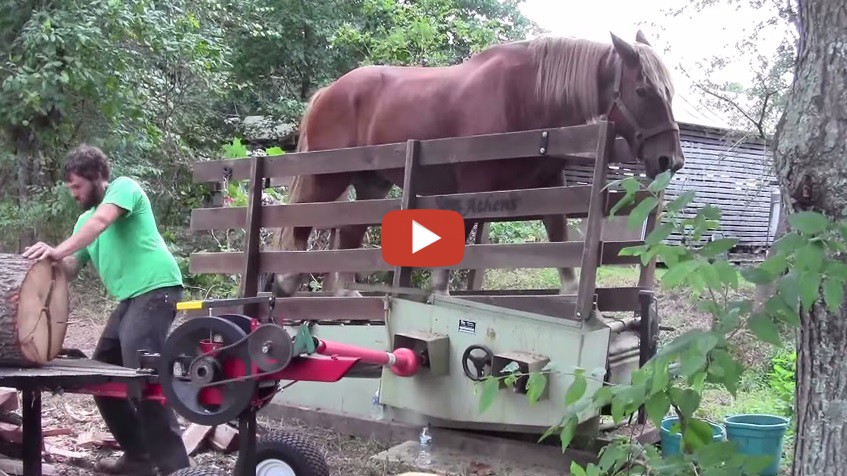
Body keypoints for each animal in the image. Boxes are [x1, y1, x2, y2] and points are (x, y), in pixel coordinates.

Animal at [270, 30, 684, 298]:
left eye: (669, 92)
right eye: (642, 90)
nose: (671, 159)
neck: (526, 99)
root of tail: (328, 90)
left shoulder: (550, 187)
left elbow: (559, 238)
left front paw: (569, 296)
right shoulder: (471, 187)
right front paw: (439, 296)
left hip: (372, 183)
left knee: (349, 233)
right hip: (328, 176)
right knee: (302, 218)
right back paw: (288, 282)